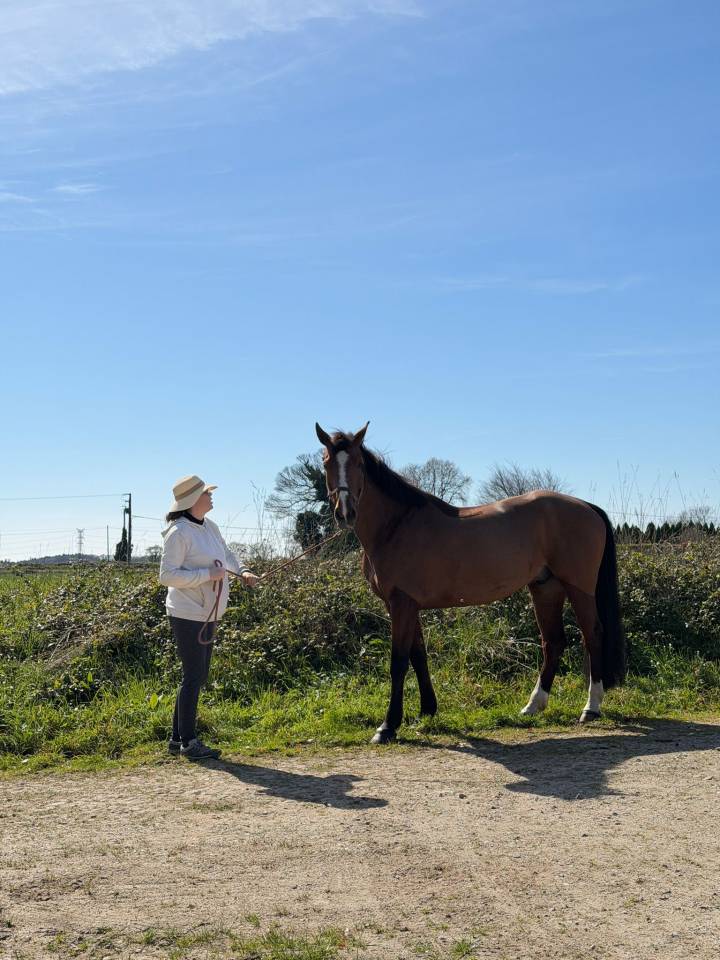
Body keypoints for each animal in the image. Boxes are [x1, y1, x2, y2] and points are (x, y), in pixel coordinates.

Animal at [315, 422, 626, 744]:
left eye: (359, 463)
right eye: (326, 463)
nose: (345, 512)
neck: (396, 525)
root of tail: (586, 506)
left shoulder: (401, 603)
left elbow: (399, 662)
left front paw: (388, 726)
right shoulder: (406, 606)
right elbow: (418, 655)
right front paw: (427, 710)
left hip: (579, 587)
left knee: (593, 636)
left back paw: (591, 707)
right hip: (545, 587)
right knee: (553, 642)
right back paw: (533, 706)